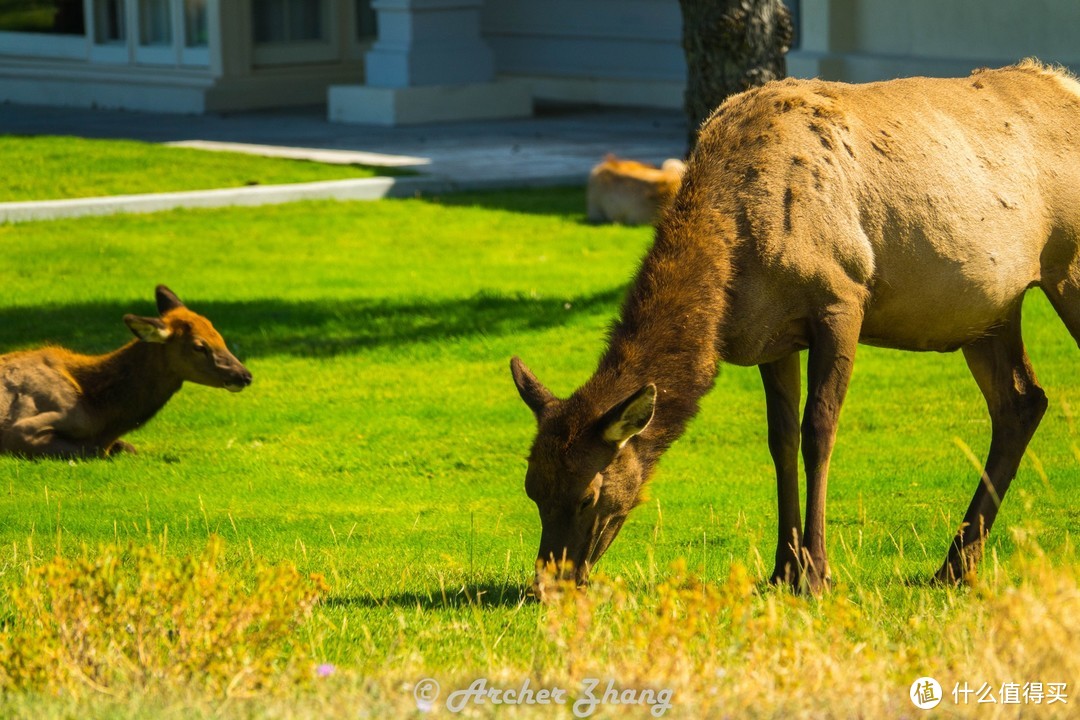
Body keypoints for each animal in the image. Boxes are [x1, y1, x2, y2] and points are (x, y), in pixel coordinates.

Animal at [0, 284, 250, 459]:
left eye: (220, 337)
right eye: (199, 346)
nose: (245, 375)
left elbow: (128, 448)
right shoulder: (22, 429)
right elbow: (90, 451)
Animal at [511, 59, 1080, 595]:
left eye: (587, 496)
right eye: (532, 488)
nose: (546, 583)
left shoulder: (842, 300)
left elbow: (818, 432)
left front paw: (818, 572)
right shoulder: (772, 336)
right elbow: (780, 440)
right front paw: (783, 568)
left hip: (1066, 269)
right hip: (990, 309)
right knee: (1021, 402)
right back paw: (956, 564)